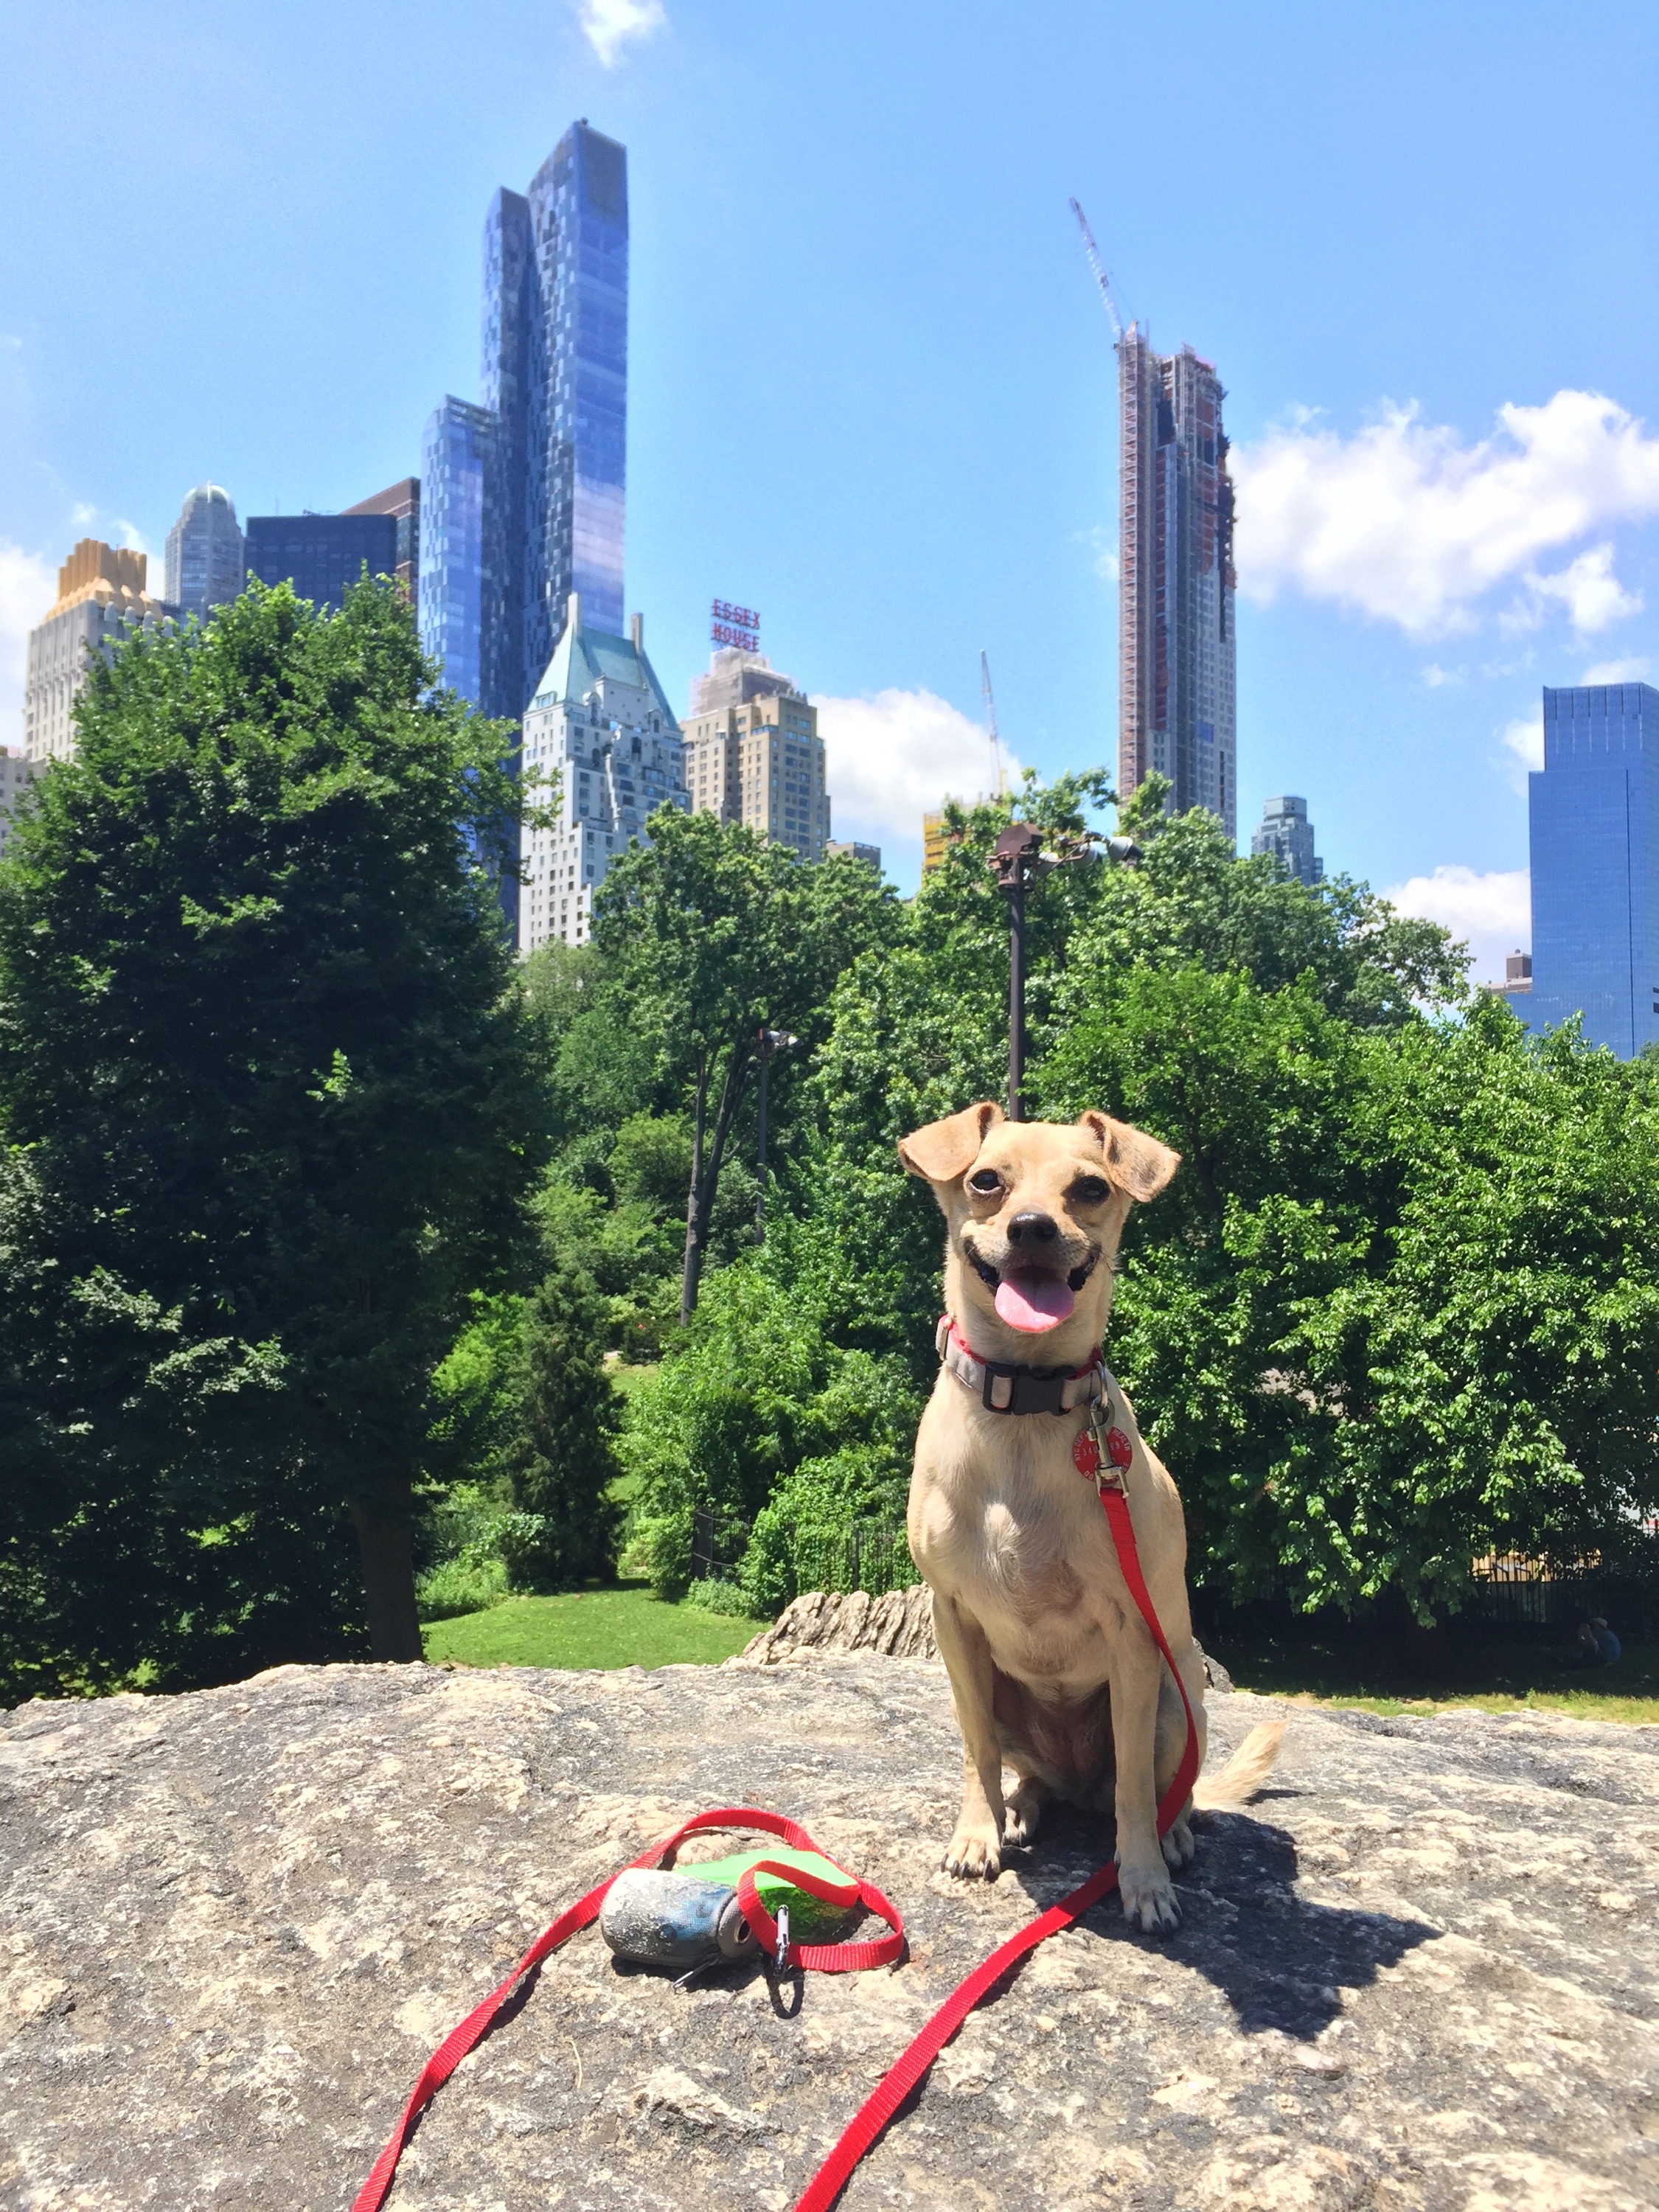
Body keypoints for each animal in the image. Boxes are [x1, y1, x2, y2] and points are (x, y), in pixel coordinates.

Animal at [902, 1097, 1283, 1929]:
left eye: (1091, 1189)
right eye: (986, 1181)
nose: (1033, 1228)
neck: (1026, 1400)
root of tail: (1076, 1783)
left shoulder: (1132, 1639)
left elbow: (1137, 1786)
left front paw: (1141, 1879)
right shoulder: (954, 1621)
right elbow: (975, 1751)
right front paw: (977, 1831)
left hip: (1180, 1696)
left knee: (1162, 1790)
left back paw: (1170, 1836)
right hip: (1004, 1696)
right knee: (1028, 1772)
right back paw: (1019, 1806)